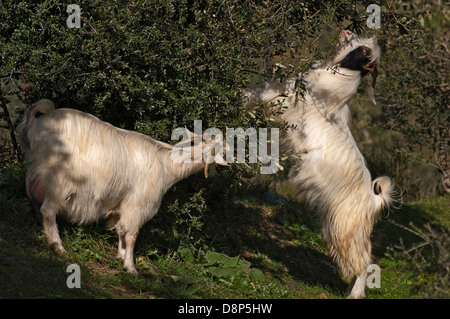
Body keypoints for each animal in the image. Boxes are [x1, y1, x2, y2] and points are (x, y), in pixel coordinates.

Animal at [18, 100, 227, 278]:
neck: (166, 165)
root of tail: (34, 124)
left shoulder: (123, 202)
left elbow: (120, 230)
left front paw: (121, 254)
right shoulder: (138, 203)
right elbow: (132, 235)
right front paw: (131, 267)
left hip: (35, 176)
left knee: (37, 204)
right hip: (59, 180)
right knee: (48, 210)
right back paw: (57, 246)